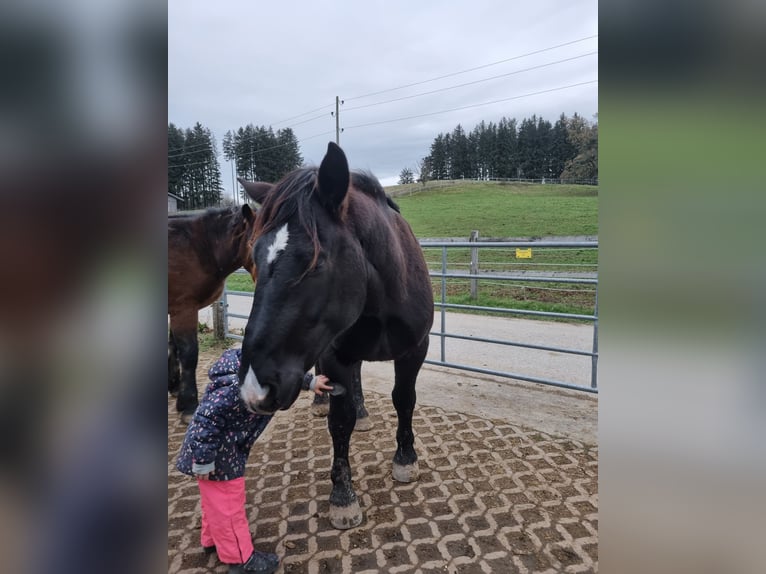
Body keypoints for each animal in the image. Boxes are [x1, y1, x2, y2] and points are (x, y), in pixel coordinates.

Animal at [237, 143, 436, 532]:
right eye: (253, 259)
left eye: (315, 262)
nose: (256, 388)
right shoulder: (335, 355)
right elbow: (339, 422)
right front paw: (343, 496)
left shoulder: (414, 350)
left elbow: (404, 399)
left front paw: (405, 459)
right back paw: (323, 402)